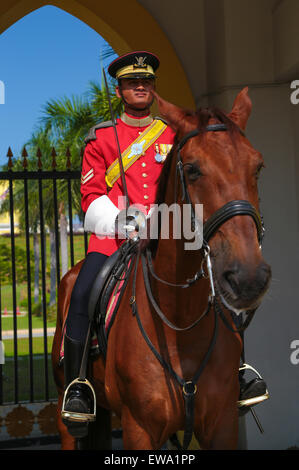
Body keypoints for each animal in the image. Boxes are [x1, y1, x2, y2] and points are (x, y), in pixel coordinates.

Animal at [51, 86, 272, 450]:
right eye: (193, 168)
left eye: (258, 166)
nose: (248, 277)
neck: (181, 321)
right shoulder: (139, 428)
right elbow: (92, 192)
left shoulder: (221, 426)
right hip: (66, 414)